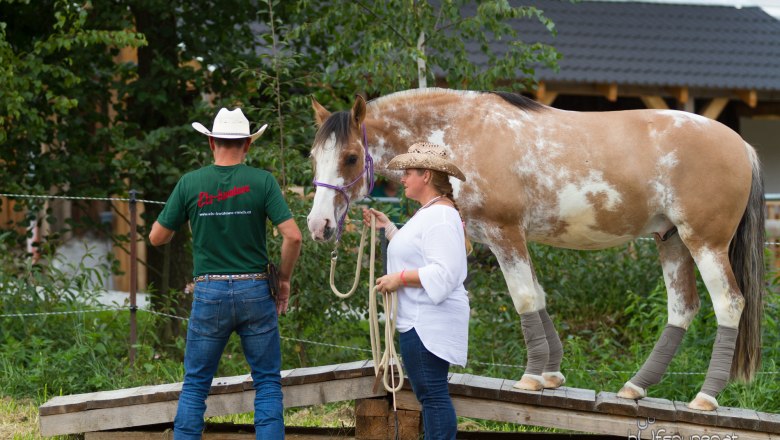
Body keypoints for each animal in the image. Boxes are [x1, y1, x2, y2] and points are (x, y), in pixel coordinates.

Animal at [308, 87, 764, 410]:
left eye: (351, 157)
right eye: (314, 157)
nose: (319, 225)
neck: (462, 132)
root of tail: (743, 146)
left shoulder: (504, 233)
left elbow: (525, 298)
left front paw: (531, 376)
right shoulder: (510, 238)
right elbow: (540, 297)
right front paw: (552, 375)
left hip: (704, 243)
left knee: (728, 304)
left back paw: (705, 397)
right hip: (670, 241)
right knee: (682, 308)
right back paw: (636, 387)